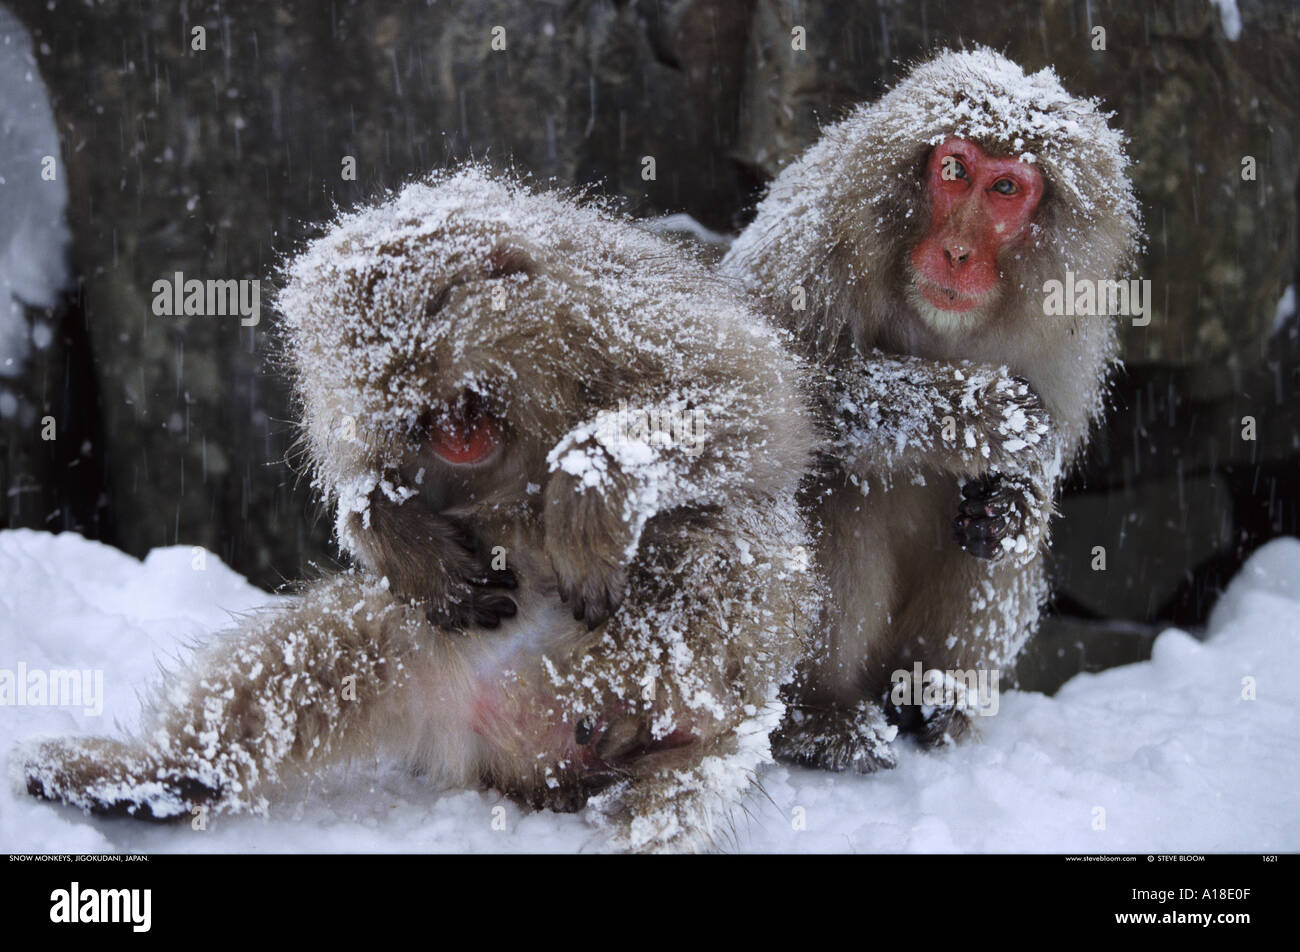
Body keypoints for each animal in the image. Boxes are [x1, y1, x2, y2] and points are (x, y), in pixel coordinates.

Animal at [722, 48, 1138, 769]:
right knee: (837, 484)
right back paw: (817, 715)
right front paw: (982, 411)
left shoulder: (1073, 318)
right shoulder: (810, 245)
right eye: (953, 171)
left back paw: (938, 699)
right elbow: (768, 389)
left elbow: (1040, 458)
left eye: (1006, 189)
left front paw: (1018, 498)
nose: (957, 251)